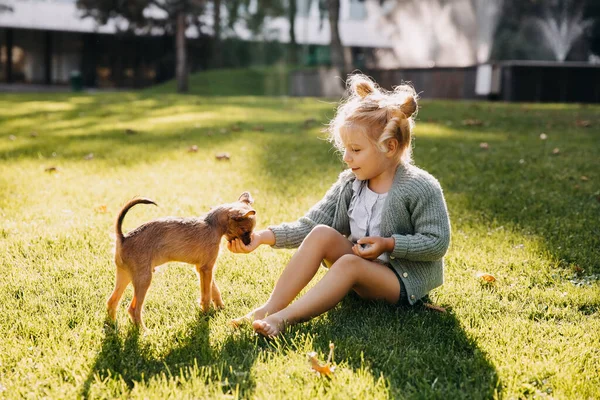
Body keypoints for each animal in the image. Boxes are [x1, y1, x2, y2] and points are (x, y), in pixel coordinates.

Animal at [107, 193, 255, 328]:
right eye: (245, 231)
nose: (249, 242)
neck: (213, 225)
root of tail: (123, 238)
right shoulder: (206, 269)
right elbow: (206, 296)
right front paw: (206, 315)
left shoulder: (204, 268)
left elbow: (214, 290)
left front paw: (220, 307)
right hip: (143, 279)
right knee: (133, 309)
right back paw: (144, 332)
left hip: (125, 276)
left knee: (111, 302)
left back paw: (112, 326)